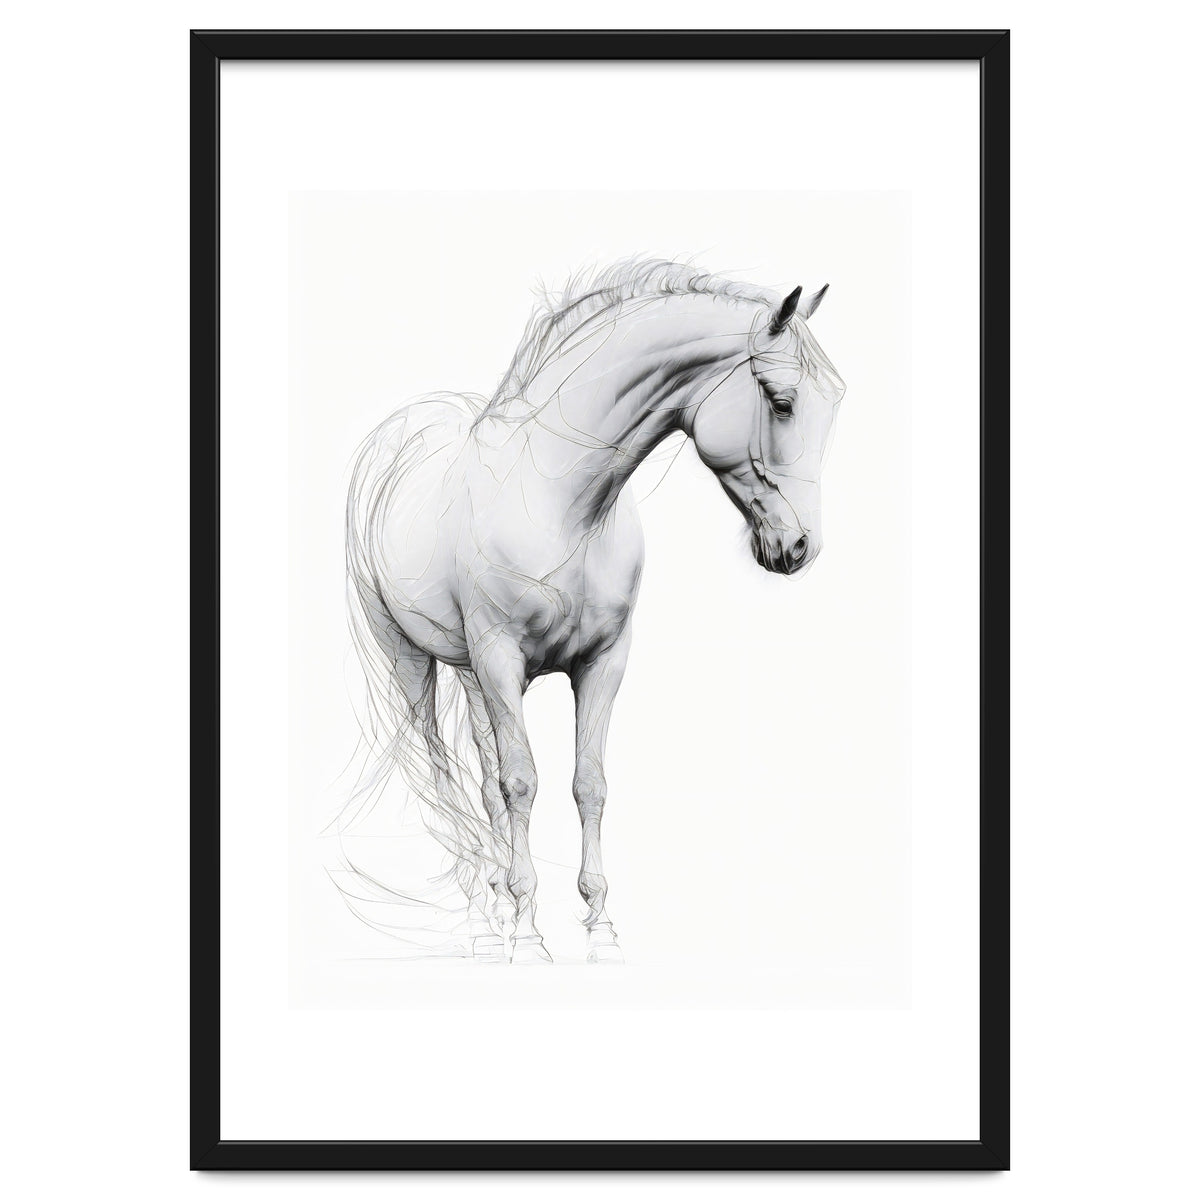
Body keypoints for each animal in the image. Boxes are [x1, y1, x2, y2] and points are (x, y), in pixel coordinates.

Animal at [344, 258, 845, 964]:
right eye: (780, 400)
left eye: (836, 399)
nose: (799, 548)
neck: (563, 502)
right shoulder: (501, 661)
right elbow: (521, 783)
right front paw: (529, 935)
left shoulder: (602, 662)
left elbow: (589, 782)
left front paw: (599, 928)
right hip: (410, 658)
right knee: (440, 769)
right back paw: (481, 914)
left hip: (468, 672)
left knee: (481, 776)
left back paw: (493, 907)